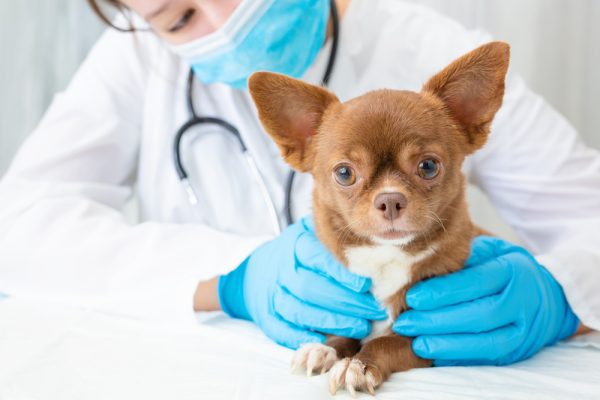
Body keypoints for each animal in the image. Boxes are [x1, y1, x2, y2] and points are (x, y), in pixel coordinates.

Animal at [247, 42, 506, 396]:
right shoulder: (349, 311)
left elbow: (384, 342)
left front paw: (357, 365)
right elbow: (344, 330)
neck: (387, 257)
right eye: (345, 173)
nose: (390, 199)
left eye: (428, 166)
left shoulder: (430, 337)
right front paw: (324, 347)